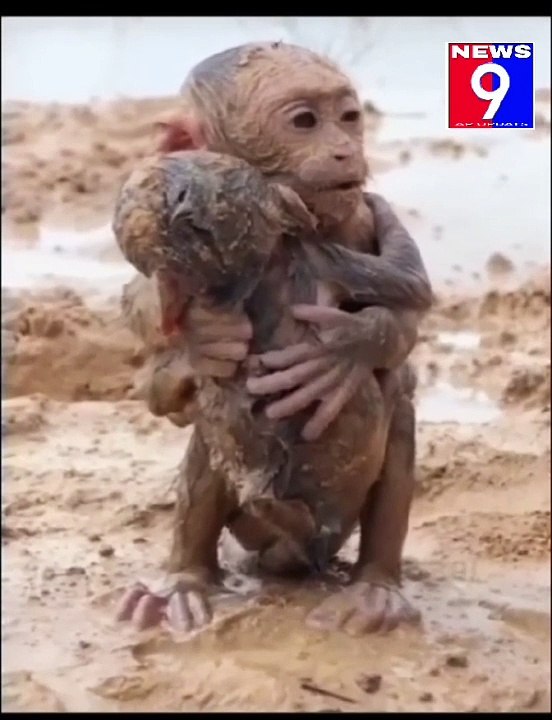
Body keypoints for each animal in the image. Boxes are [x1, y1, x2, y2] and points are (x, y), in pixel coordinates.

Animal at [115, 42, 432, 636]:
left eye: (347, 118)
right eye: (304, 122)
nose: (344, 150)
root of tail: (298, 550)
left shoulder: (346, 229)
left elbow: (410, 294)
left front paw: (342, 349)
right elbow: (147, 318)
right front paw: (202, 341)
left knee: (397, 405)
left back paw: (374, 589)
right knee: (209, 449)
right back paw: (182, 585)